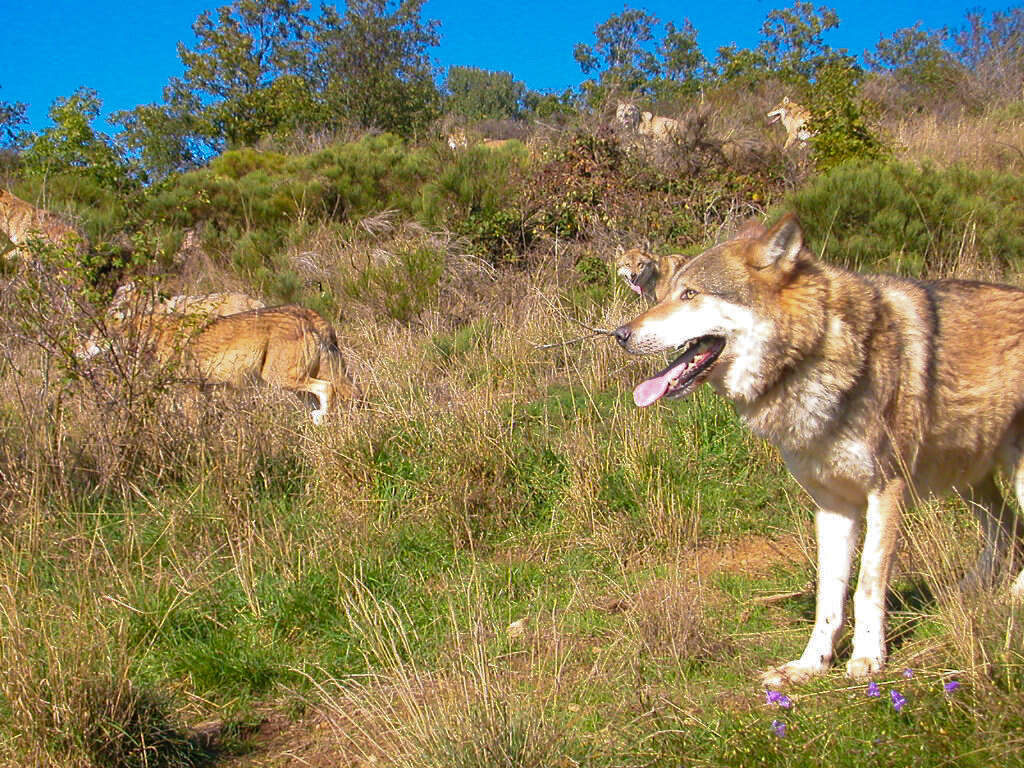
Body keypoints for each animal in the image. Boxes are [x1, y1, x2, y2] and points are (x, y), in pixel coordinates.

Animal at [89, 303, 360, 423]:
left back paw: (320, 419)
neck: (152, 335)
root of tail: (307, 313)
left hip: (282, 380)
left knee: (328, 389)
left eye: (93, 338)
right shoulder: (204, 391)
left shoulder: (189, 391)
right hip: (295, 388)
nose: (81, 349)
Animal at [610, 215, 1024, 684]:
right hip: (968, 482)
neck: (809, 357)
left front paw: (868, 658)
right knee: (1007, 532)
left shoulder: (885, 492)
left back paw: (1009, 596)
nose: (620, 334)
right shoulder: (832, 506)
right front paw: (810, 665)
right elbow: (829, 597)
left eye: (690, 294)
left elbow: (867, 585)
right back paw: (963, 594)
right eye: (663, 295)